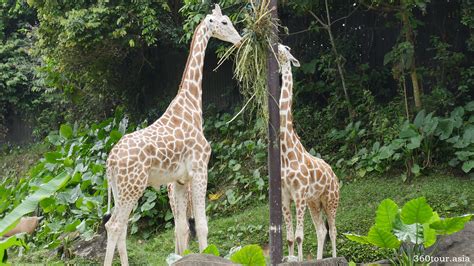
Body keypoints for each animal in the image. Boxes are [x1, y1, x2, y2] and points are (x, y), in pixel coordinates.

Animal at [105, 6, 243, 266]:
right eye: (224, 22)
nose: (239, 40)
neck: (191, 105)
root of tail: (110, 162)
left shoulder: (180, 180)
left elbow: (181, 228)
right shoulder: (200, 169)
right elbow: (202, 225)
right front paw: (207, 255)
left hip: (120, 190)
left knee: (118, 226)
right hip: (133, 187)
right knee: (116, 225)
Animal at [278, 44, 340, 262]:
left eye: (287, 48)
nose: (276, 45)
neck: (286, 152)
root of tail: (334, 175)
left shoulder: (300, 194)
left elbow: (299, 236)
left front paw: (299, 259)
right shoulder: (286, 196)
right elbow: (289, 238)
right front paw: (290, 259)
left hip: (331, 200)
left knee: (333, 230)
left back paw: (334, 258)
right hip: (315, 202)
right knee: (322, 230)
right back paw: (320, 259)